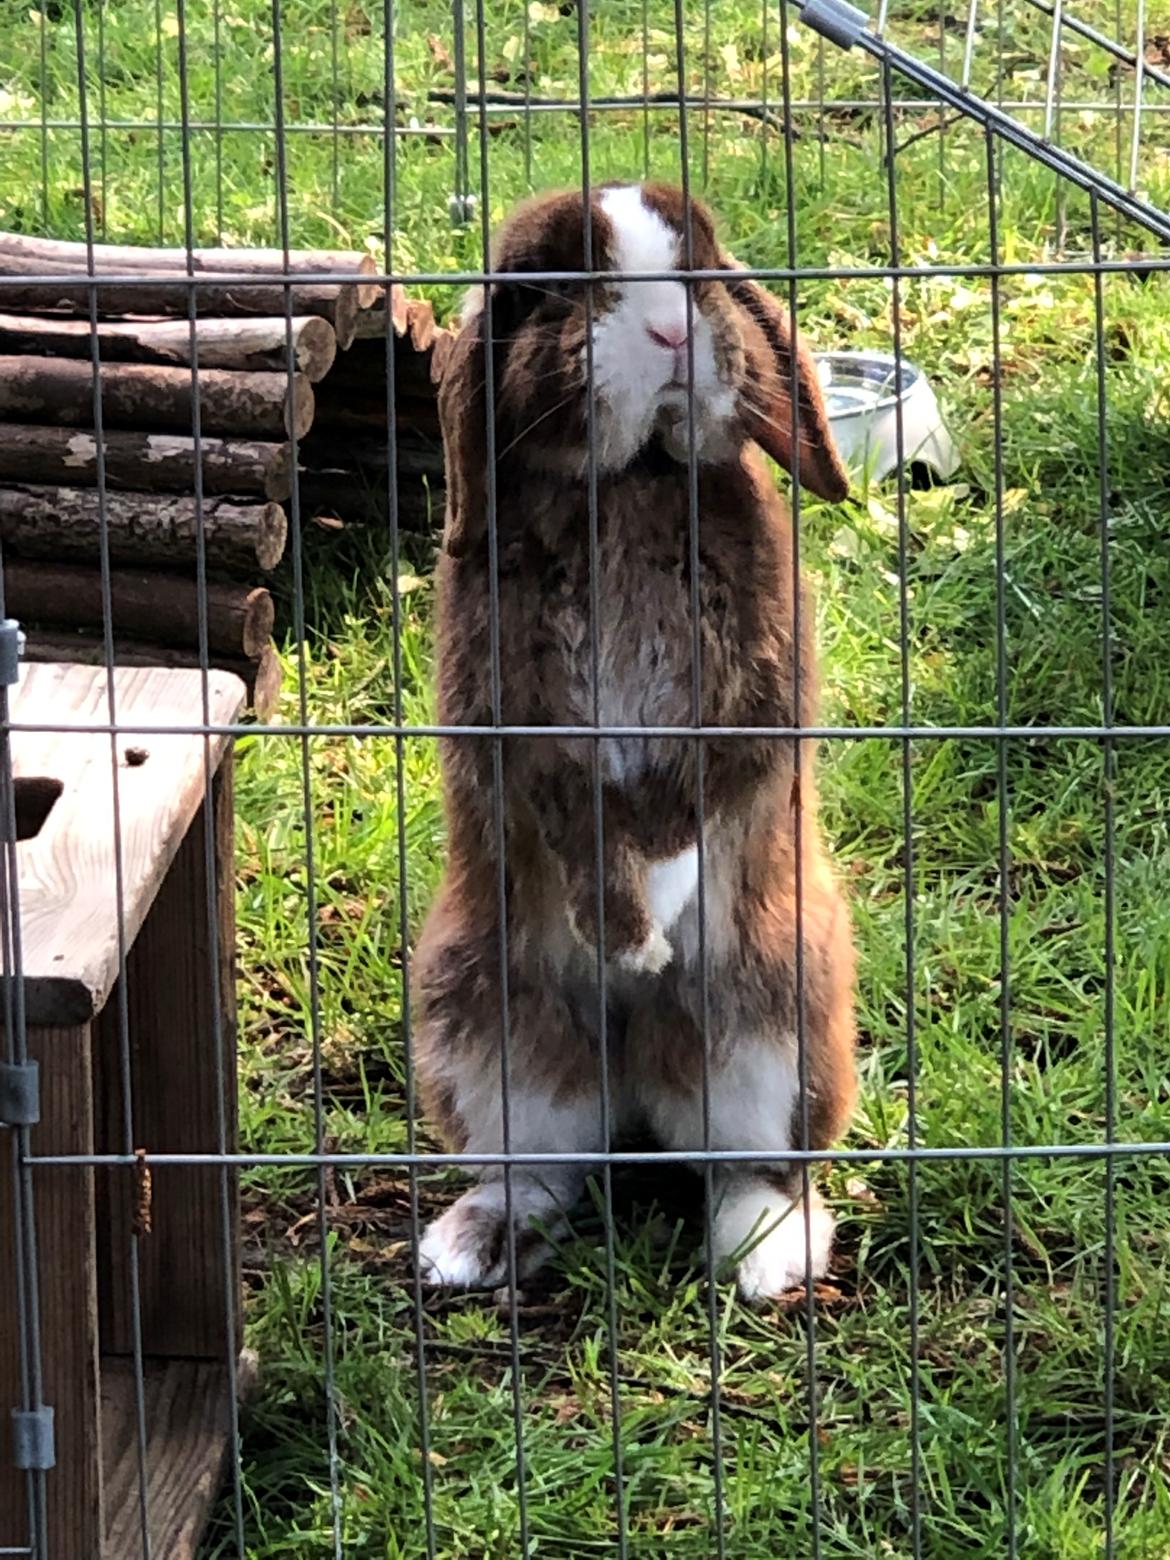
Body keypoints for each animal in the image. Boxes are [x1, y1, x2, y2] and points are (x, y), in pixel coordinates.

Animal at [411, 179, 861, 1304]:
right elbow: (577, 808)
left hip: (775, 1015)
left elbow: (691, 795)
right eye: (554, 289)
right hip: (478, 1022)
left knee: (747, 1165)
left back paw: (763, 1258)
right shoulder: (517, 720)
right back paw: (467, 1246)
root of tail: (638, 1089)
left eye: (700, 268)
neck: (627, 482)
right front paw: (626, 934)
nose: (668, 329)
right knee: (548, 1166)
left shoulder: (750, 692)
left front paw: (652, 922)